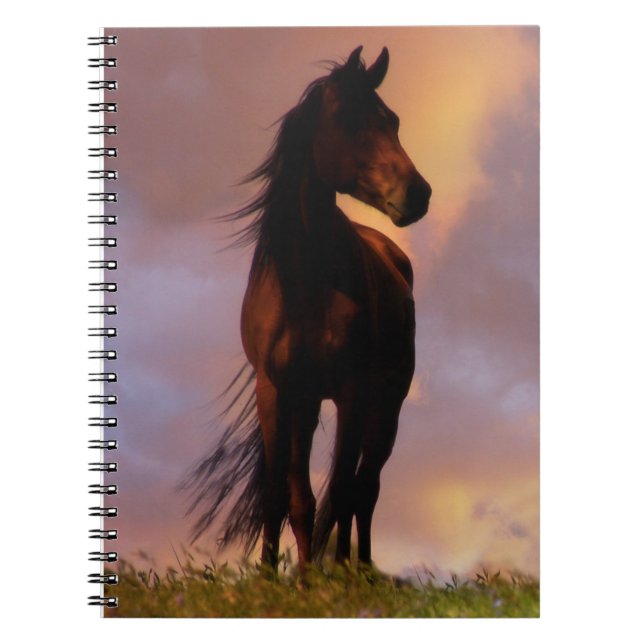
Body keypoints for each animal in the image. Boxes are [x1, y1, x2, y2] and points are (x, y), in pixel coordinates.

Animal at [183, 46, 431, 574]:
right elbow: (284, 495)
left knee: (365, 489)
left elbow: (340, 492)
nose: (418, 194)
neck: (304, 286)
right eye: (349, 119)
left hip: (386, 404)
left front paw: (329, 576)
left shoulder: (354, 391)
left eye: (393, 121)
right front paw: (279, 576)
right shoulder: (281, 391)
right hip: (314, 403)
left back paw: (360, 568)